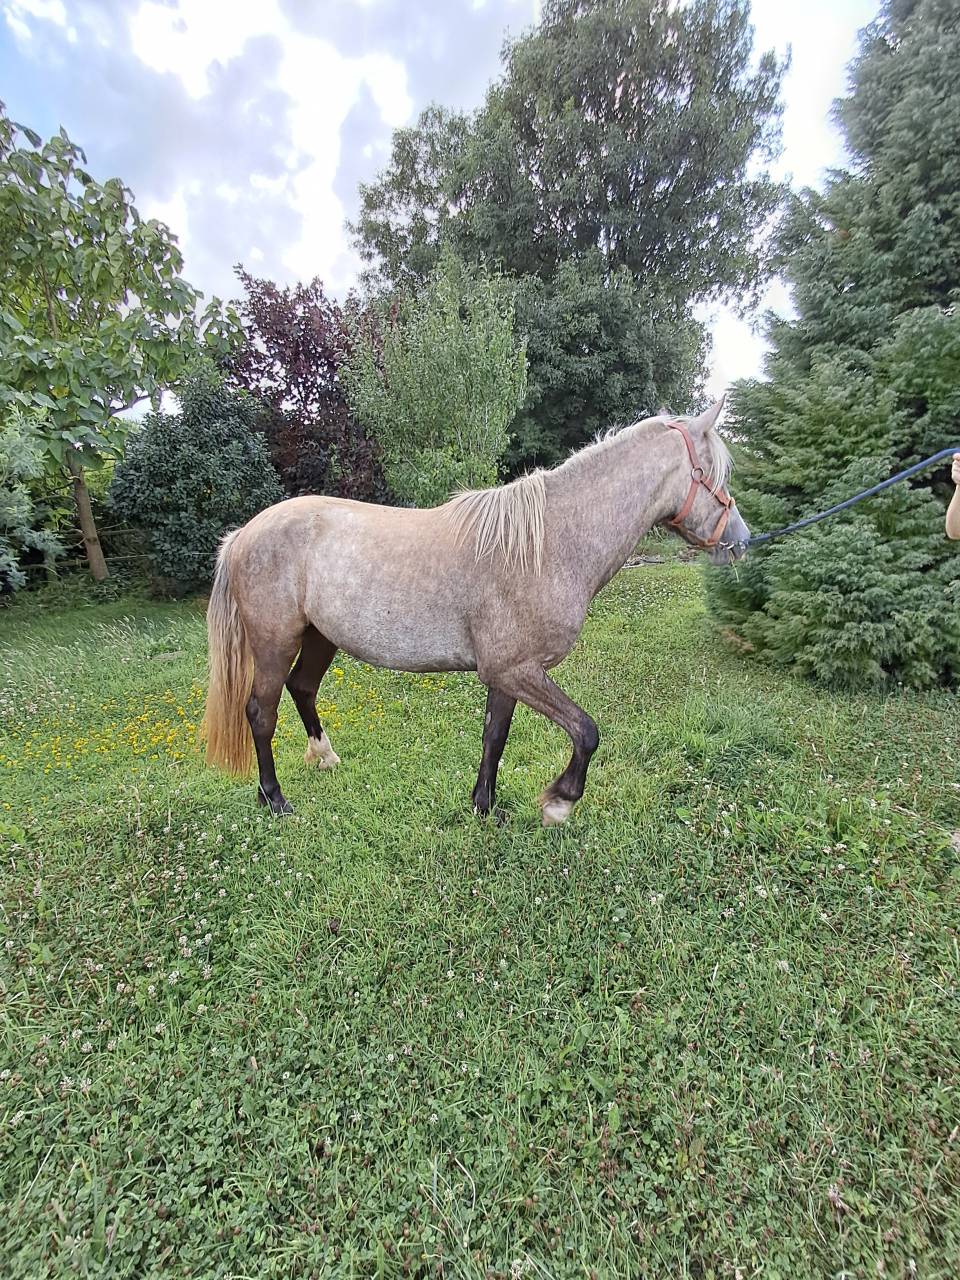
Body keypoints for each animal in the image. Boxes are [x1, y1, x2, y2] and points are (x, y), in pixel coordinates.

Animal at [201, 402, 749, 824]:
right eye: (715, 476)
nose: (741, 541)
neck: (545, 544)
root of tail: (242, 536)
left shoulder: (508, 674)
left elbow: (495, 737)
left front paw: (484, 807)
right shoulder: (517, 670)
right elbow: (586, 731)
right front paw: (559, 803)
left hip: (320, 636)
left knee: (303, 689)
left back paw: (325, 758)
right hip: (275, 643)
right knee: (261, 712)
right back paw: (274, 799)